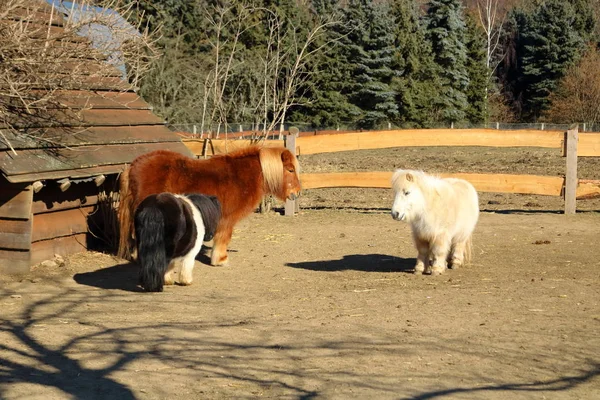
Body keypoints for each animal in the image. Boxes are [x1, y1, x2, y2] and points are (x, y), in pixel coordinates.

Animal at [118, 147, 302, 266]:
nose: (297, 192)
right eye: (290, 170)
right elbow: (223, 238)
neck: (240, 176)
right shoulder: (227, 219)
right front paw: (220, 260)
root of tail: (133, 165)